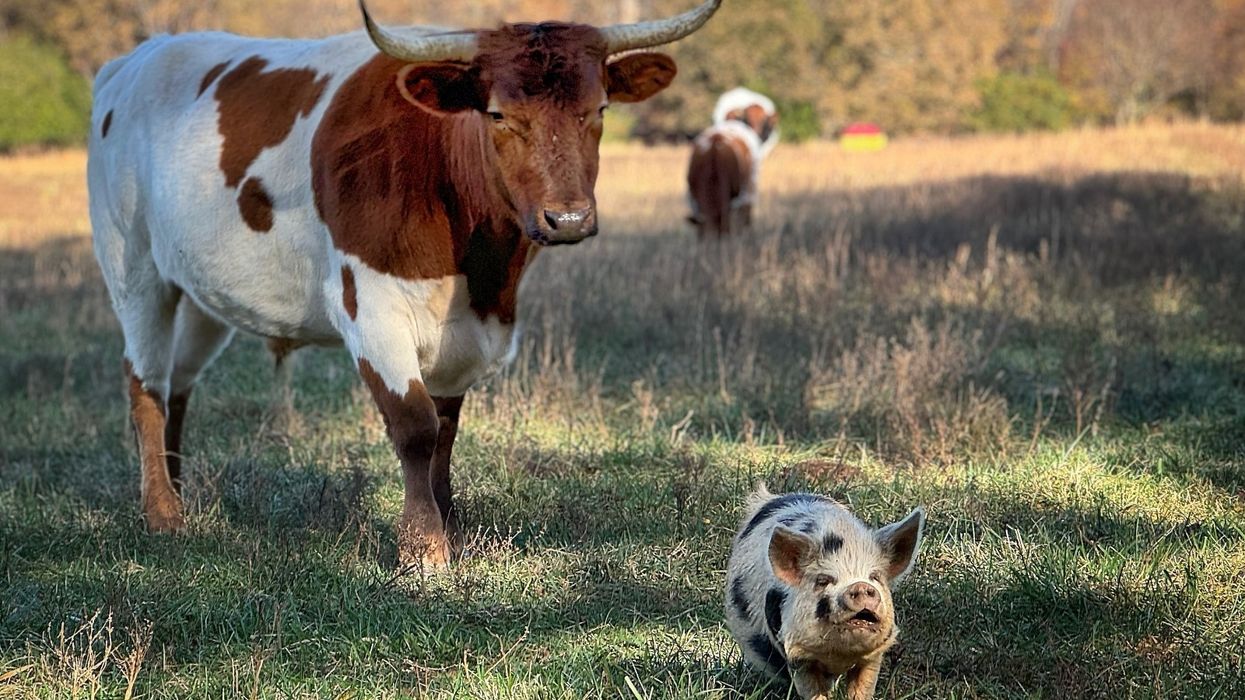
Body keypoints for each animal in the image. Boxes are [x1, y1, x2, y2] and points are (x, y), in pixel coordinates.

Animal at [87, 0, 722, 568]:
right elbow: (416, 426)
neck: (478, 270)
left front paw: (450, 528)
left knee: (178, 385)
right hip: (135, 271)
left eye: (600, 108)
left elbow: (446, 431)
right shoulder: (372, 309)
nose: (566, 219)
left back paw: (177, 491)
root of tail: (133, 60)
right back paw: (163, 514)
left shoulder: (469, 331)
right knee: (145, 383)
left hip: (203, 293)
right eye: (497, 115)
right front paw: (423, 547)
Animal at [724, 484, 925, 700]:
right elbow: (812, 690)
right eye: (823, 580)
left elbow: (863, 687)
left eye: (875, 577)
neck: (839, 655)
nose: (860, 585)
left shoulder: (873, 656)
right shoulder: (798, 656)